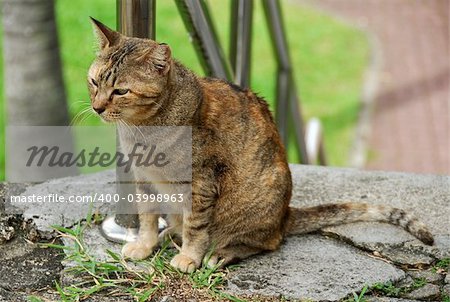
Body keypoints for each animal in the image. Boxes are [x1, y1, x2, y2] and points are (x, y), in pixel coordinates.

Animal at [86, 18, 434, 274]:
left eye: (120, 91)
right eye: (94, 82)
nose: (97, 107)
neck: (143, 129)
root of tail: (284, 215)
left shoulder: (201, 183)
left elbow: (197, 227)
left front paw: (189, 257)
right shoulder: (144, 179)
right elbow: (146, 218)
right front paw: (145, 245)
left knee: (266, 242)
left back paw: (221, 252)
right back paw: (171, 232)